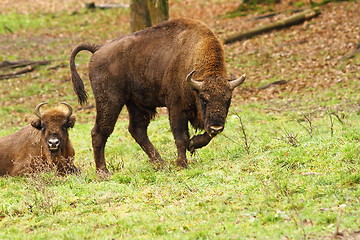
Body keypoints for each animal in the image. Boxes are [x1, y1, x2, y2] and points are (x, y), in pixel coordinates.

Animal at [69, 17, 246, 174]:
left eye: (228, 100)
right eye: (204, 98)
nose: (217, 126)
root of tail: (98, 48)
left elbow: (204, 136)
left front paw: (193, 145)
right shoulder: (176, 109)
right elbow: (181, 137)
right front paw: (182, 163)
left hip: (136, 104)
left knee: (137, 130)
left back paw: (160, 163)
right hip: (110, 101)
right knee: (100, 131)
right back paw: (103, 172)